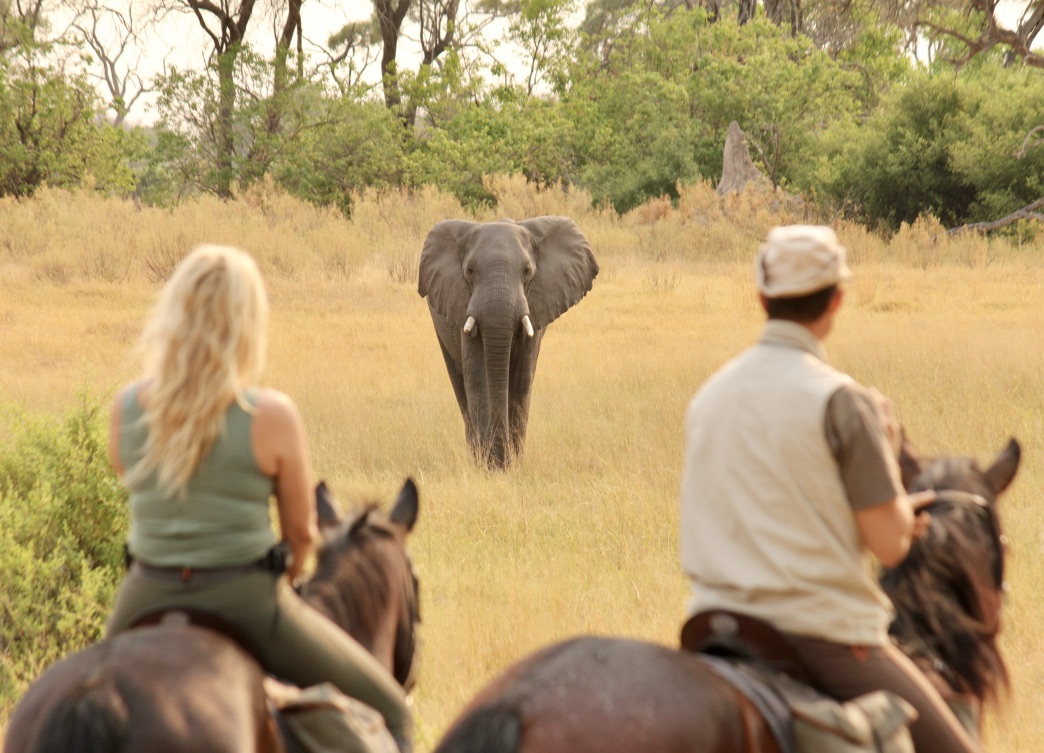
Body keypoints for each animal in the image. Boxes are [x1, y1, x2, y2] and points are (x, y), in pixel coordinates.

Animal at [415, 214, 597, 467]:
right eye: (469, 271)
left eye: (527, 271)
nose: (503, 462)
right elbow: (478, 378)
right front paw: (489, 466)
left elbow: (522, 382)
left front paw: (513, 465)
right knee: (460, 388)